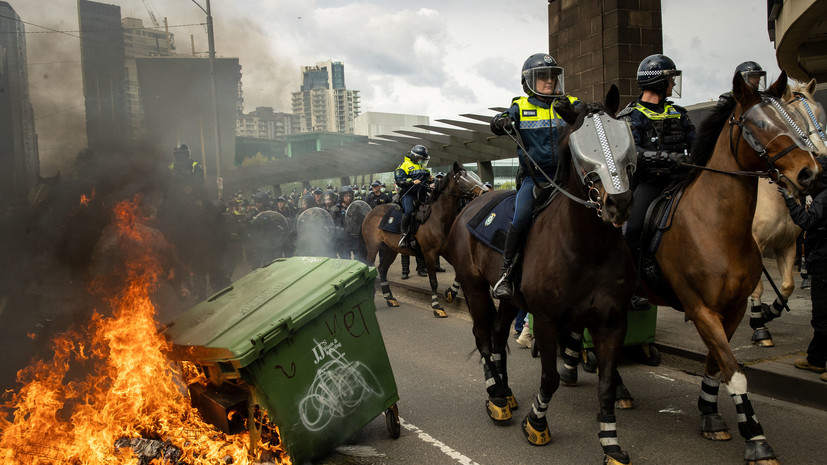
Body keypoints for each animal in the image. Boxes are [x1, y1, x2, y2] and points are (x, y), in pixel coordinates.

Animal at [360, 161, 486, 318]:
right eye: (464, 178)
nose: (484, 191)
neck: (437, 218)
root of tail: (371, 211)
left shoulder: (446, 251)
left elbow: (458, 272)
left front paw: (451, 292)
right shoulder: (429, 253)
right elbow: (433, 281)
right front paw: (436, 306)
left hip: (389, 249)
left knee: (382, 269)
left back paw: (390, 298)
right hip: (373, 247)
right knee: (371, 267)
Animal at [444, 86, 636, 464]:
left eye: (622, 135)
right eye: (582, 150)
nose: (617, 204)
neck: (587, 248)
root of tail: (471, 206)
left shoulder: (612, 321)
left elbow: (607, 385)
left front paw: (611, 443)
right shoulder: (547, 319)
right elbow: (549, 378)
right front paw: (536, 424)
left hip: (509, 299)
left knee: (498, 335)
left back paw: (505, 390)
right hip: (474, 287)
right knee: (482, 335)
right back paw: (496, 396)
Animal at [748, 79, 824, 344]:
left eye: (819, 114)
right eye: (793, 116)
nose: (821, 154)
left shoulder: (787, 244)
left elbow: (787, 286)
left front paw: (768, 312)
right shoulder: (754, 245)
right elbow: (758, 286)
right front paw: (759, 326)